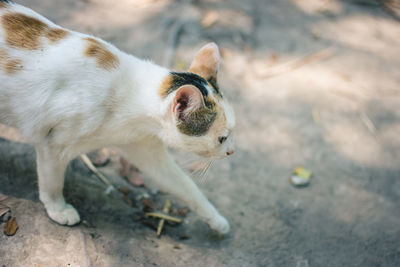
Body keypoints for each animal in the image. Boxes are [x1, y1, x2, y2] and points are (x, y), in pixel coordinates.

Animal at [0, 0, 234, 234]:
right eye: (222, 138)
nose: (231, 152)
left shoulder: (145, 148)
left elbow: (184, 186)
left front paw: (216, 220)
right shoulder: (53, 145)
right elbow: (52, 182)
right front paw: (58, 209)